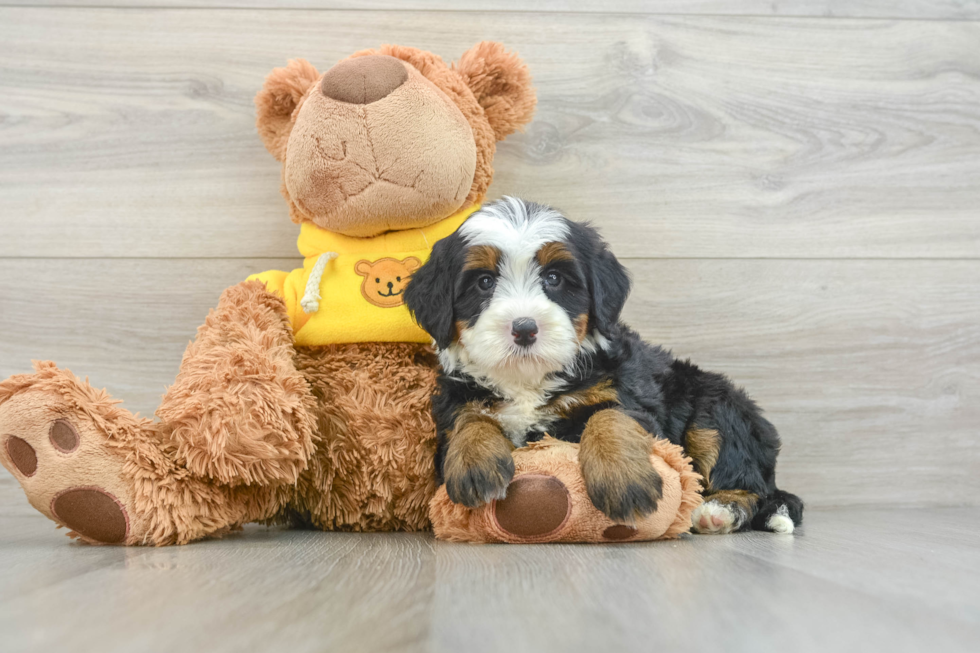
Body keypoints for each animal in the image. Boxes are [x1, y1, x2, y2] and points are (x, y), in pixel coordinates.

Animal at [404, 196, 804, 532]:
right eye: (484, 282)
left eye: (554, 278)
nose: (525, 328)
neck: (528, 379)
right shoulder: (455, 399)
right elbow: (469, 418)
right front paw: (474, 460)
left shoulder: (629, 393)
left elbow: (611, 416)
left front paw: (622, 477)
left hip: (717, 408)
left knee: (749, 482)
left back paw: (718, 510)